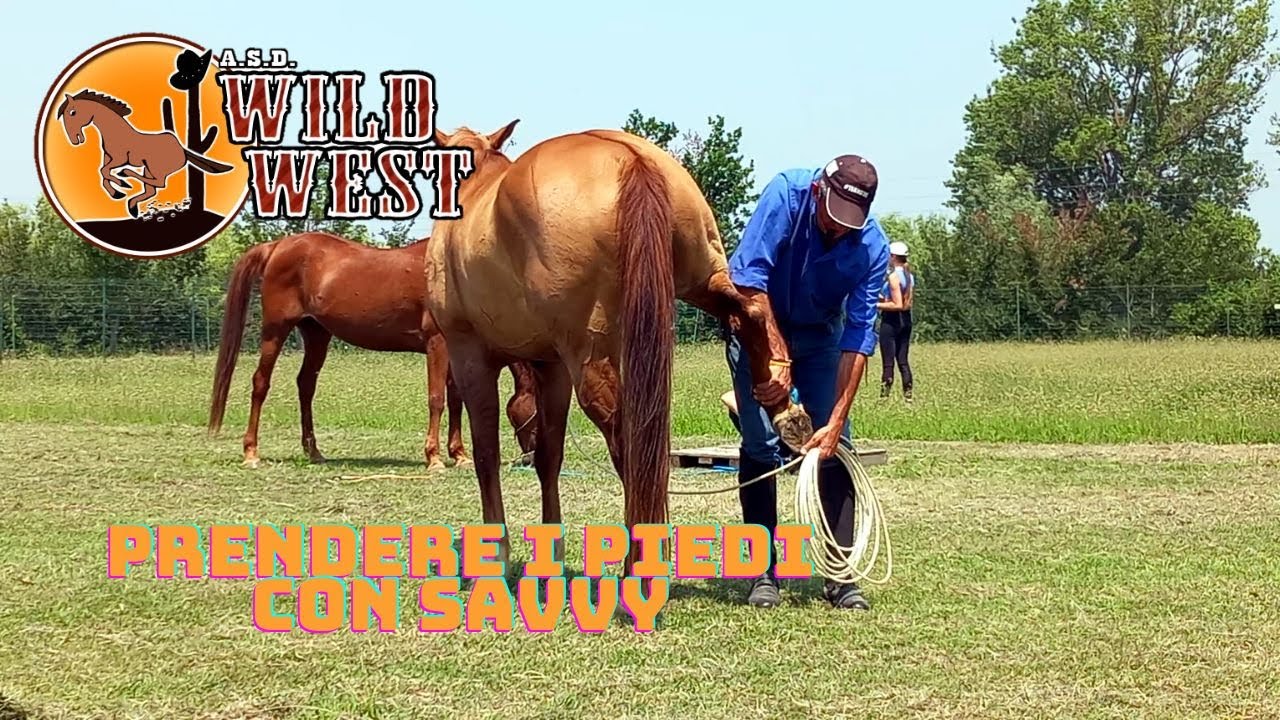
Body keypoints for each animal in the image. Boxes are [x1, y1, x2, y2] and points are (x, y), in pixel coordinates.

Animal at [57, 89, 233, 218]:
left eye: (72, 112)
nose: (74, 139)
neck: (114, 132)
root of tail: (182, 149)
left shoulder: (120, 159)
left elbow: (104, 172)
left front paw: (122, 184)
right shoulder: (108, 158)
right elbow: (103, 174)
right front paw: (117, 193)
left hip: (155, 168)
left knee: (159, 184)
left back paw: (127, 178)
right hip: (148, 168)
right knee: (151, 190)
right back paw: (132, 206)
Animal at [207, 231, 539, 469]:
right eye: (534, 411)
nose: (530, 459)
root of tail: (277, 246)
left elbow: (456, 399)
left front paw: (459, 455)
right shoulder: (437, 344)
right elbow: (437, 399)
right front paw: (433, 458)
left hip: (316, 334)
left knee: (306, 385)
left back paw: (314, 451)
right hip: (275, 331)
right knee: (260, 383)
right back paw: (251, 452)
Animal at [425, 120, 809, 584]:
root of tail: (630, 158)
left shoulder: (470, 356)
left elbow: (486, 457)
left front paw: (494, 557)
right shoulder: (551, 365)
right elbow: (550, 459)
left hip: (592, 356)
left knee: (629, 450)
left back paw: (637, 570)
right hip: (704, 278)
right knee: (749, 311)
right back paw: (783, 406)